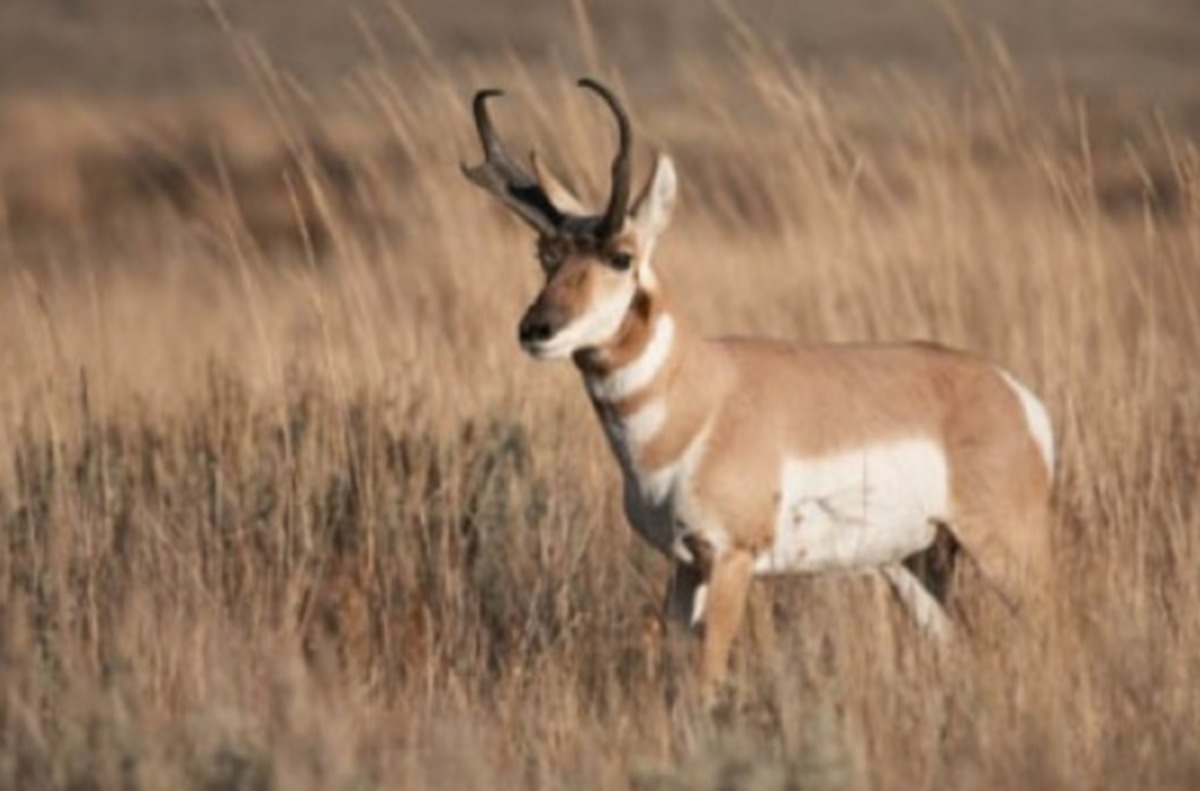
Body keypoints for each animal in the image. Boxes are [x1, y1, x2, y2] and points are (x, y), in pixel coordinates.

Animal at [463, 78, 1056, 700]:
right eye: (545, 256)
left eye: (621, 257)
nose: (536, 329)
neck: (700, 392)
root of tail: (1013, 394)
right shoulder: (684, 564)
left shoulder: (731, 560)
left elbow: (706, 676)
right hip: (911, 563)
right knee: (952, 641)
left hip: (1008, 551)